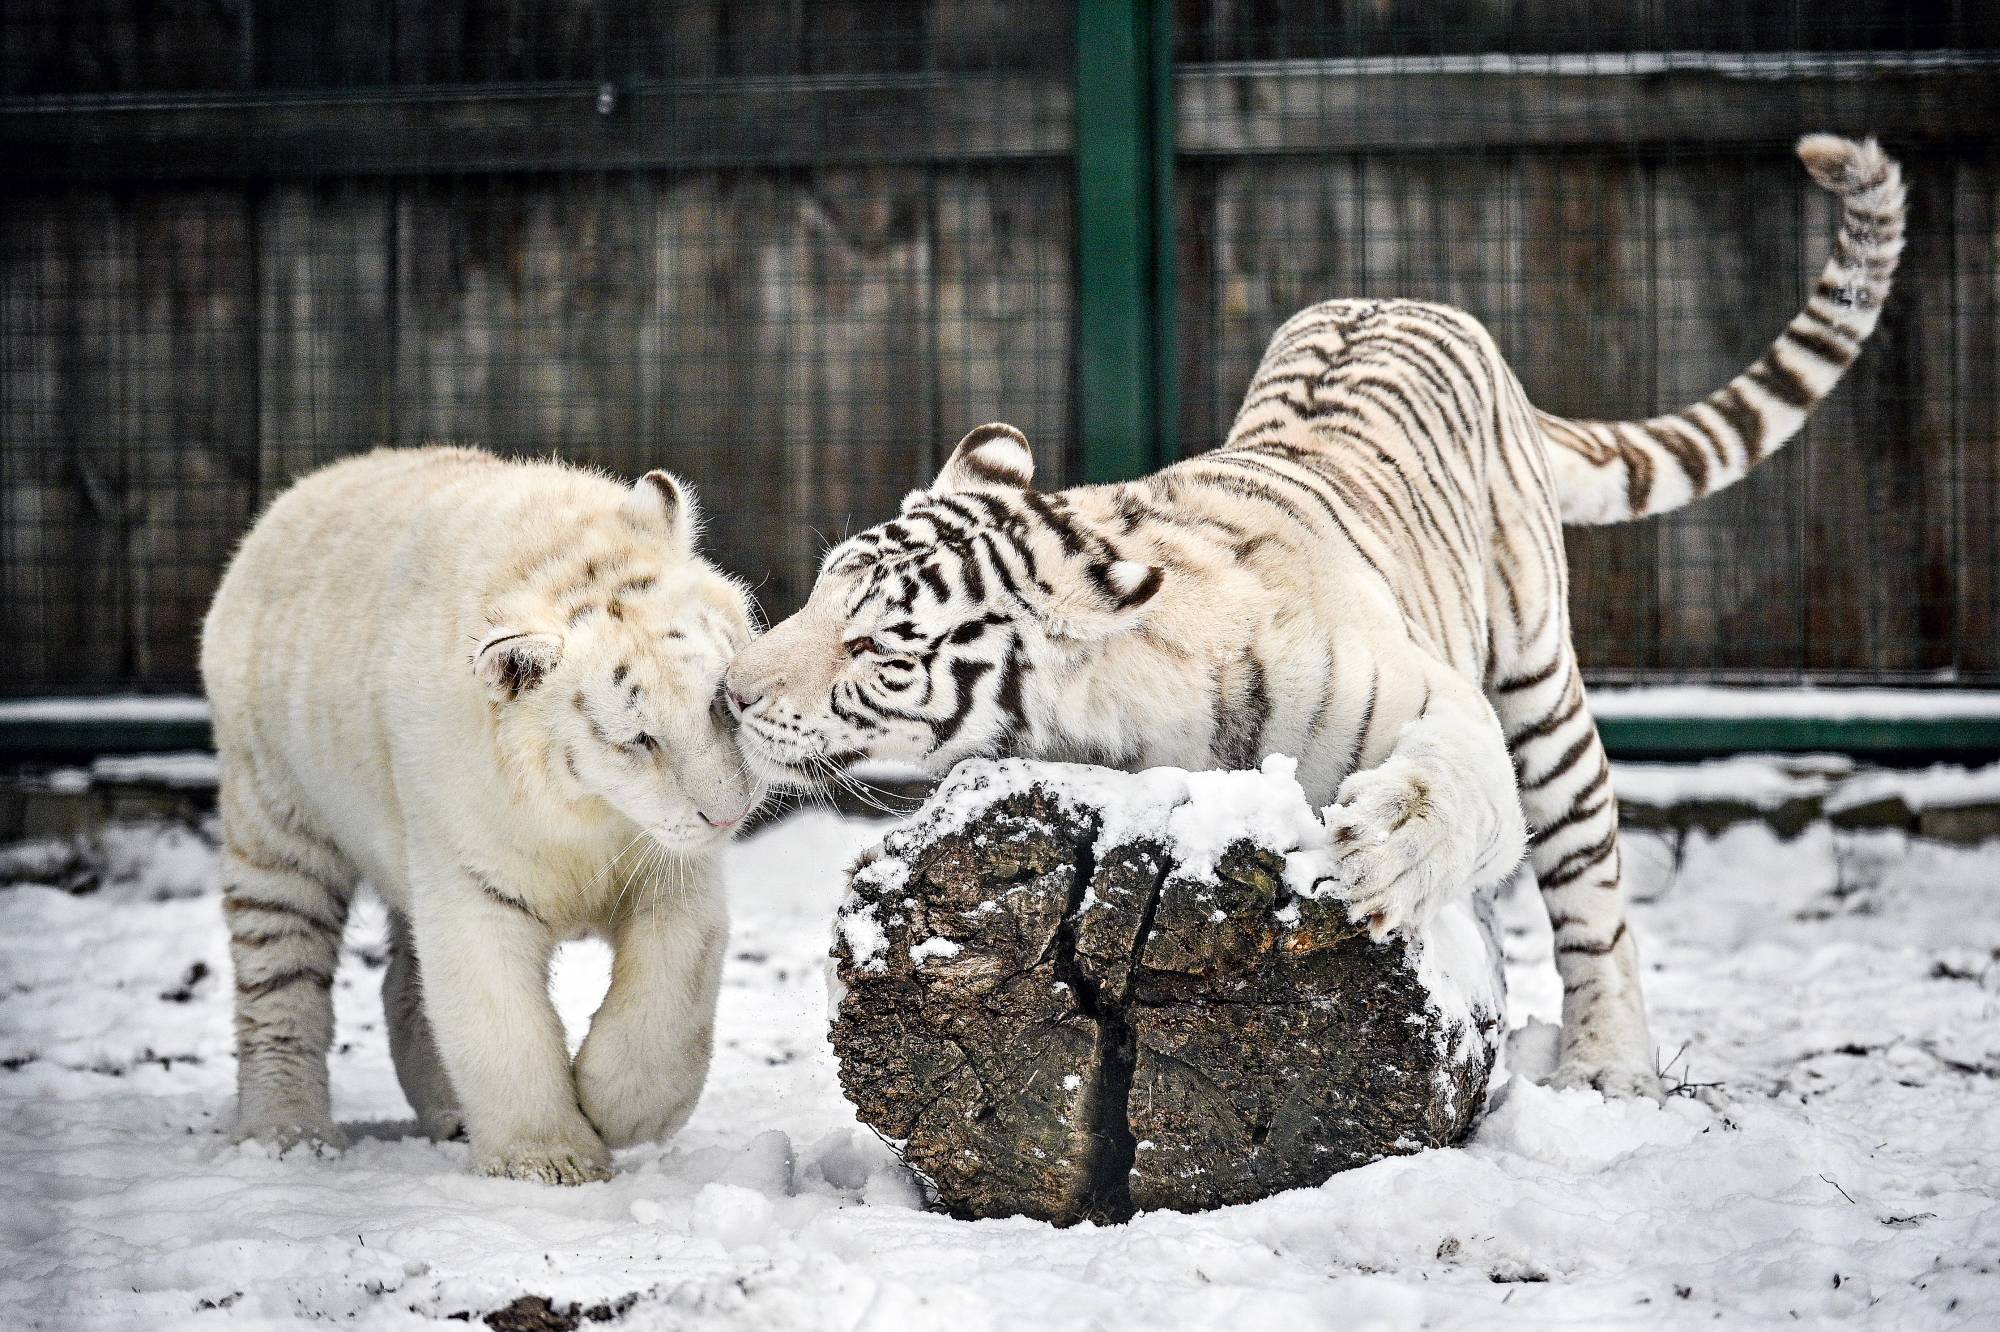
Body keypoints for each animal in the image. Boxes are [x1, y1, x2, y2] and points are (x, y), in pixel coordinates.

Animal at [203, 448, 752, 1184]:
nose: (730, 815)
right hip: (276, 818)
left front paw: (615, 1110)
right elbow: (501, 1025)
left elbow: (669, 1004)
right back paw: (287, 1135)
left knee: (401, 988)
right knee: (279, 985)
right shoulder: (470, 881)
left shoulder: (674, 878)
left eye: (718, 699)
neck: (588, 819)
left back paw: (451, 1116)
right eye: (638, 739)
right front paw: (551, 1158)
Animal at [728, 135, 1912, 1096]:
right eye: (821, 590)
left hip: (1541, 689)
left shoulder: (1438, 698)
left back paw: (1608, 1063)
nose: (731, 694)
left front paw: (1383, 855)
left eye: (877, 645)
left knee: (1592, 896)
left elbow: (1451, 786)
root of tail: (1412, 300)